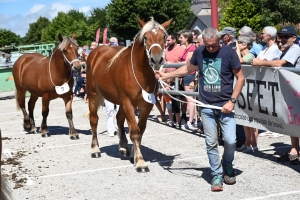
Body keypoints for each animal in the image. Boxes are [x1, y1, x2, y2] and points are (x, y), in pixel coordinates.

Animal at [85, 18, 172, 172]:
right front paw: (140, 162)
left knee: (119, 119)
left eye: (164, 37)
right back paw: (95, 149)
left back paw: (123, 147)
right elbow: (135, 131)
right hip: (93, 95)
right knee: (94, 120)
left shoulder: (146, 105)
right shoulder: (128, 103)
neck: (139, 72)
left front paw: (133, 154)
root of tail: (96, 52)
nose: (156, 60)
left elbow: (140, 130)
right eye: (146, 37)